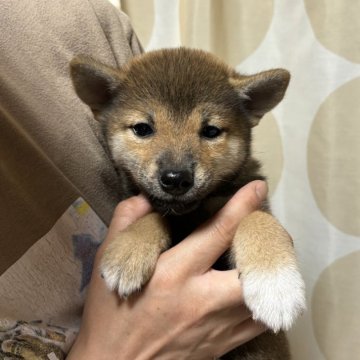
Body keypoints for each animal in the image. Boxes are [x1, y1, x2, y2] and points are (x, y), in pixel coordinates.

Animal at [71, 47, 306, 358]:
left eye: (211, 131)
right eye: (142, 128)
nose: (176, 178)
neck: (191, 215)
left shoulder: (247, 195)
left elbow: (258, 218)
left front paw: (276, 284)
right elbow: (153, 214)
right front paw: (128, 250)